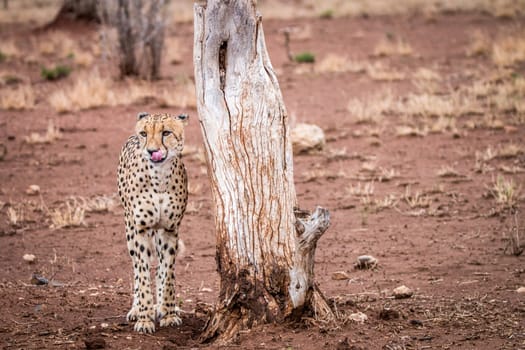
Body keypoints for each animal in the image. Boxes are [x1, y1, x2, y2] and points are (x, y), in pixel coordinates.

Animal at [116, 112, 188, 334]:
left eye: (166, 133)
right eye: (144, 133)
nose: (151, 151)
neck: (160, 178)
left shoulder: (169, 229)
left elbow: (166, 272)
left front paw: (168, 312)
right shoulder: (140, 229)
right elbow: (142, 274)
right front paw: (144, 317)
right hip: (130, 229)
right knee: (137, 268)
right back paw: (136, 308)